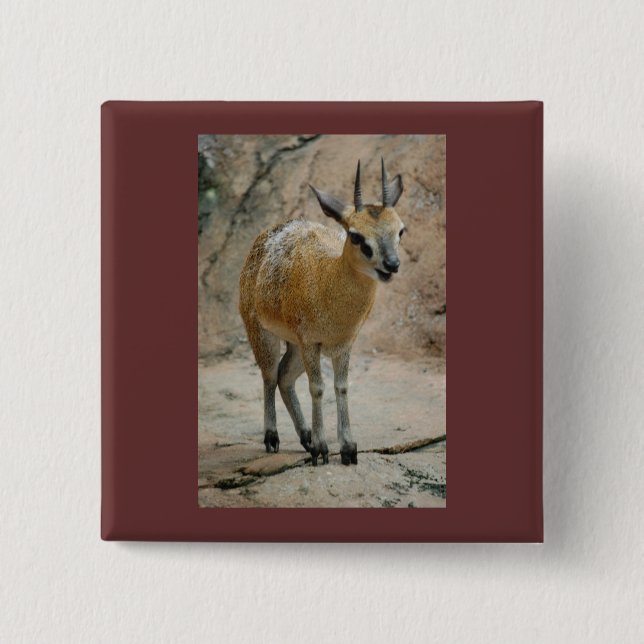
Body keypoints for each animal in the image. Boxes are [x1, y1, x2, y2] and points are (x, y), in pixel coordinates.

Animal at [239, 159, 405, 465]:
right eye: (356, 235)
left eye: (401, 230)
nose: (391, 264)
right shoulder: (311, 342)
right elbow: (317, 388)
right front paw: (322, 448)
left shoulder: (343, 343)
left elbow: (341, 386)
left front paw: (348, 448)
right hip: (262, 332)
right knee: (269, 375)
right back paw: (273, 438)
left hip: (293, 345)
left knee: (284, 376)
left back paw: (304, 437)